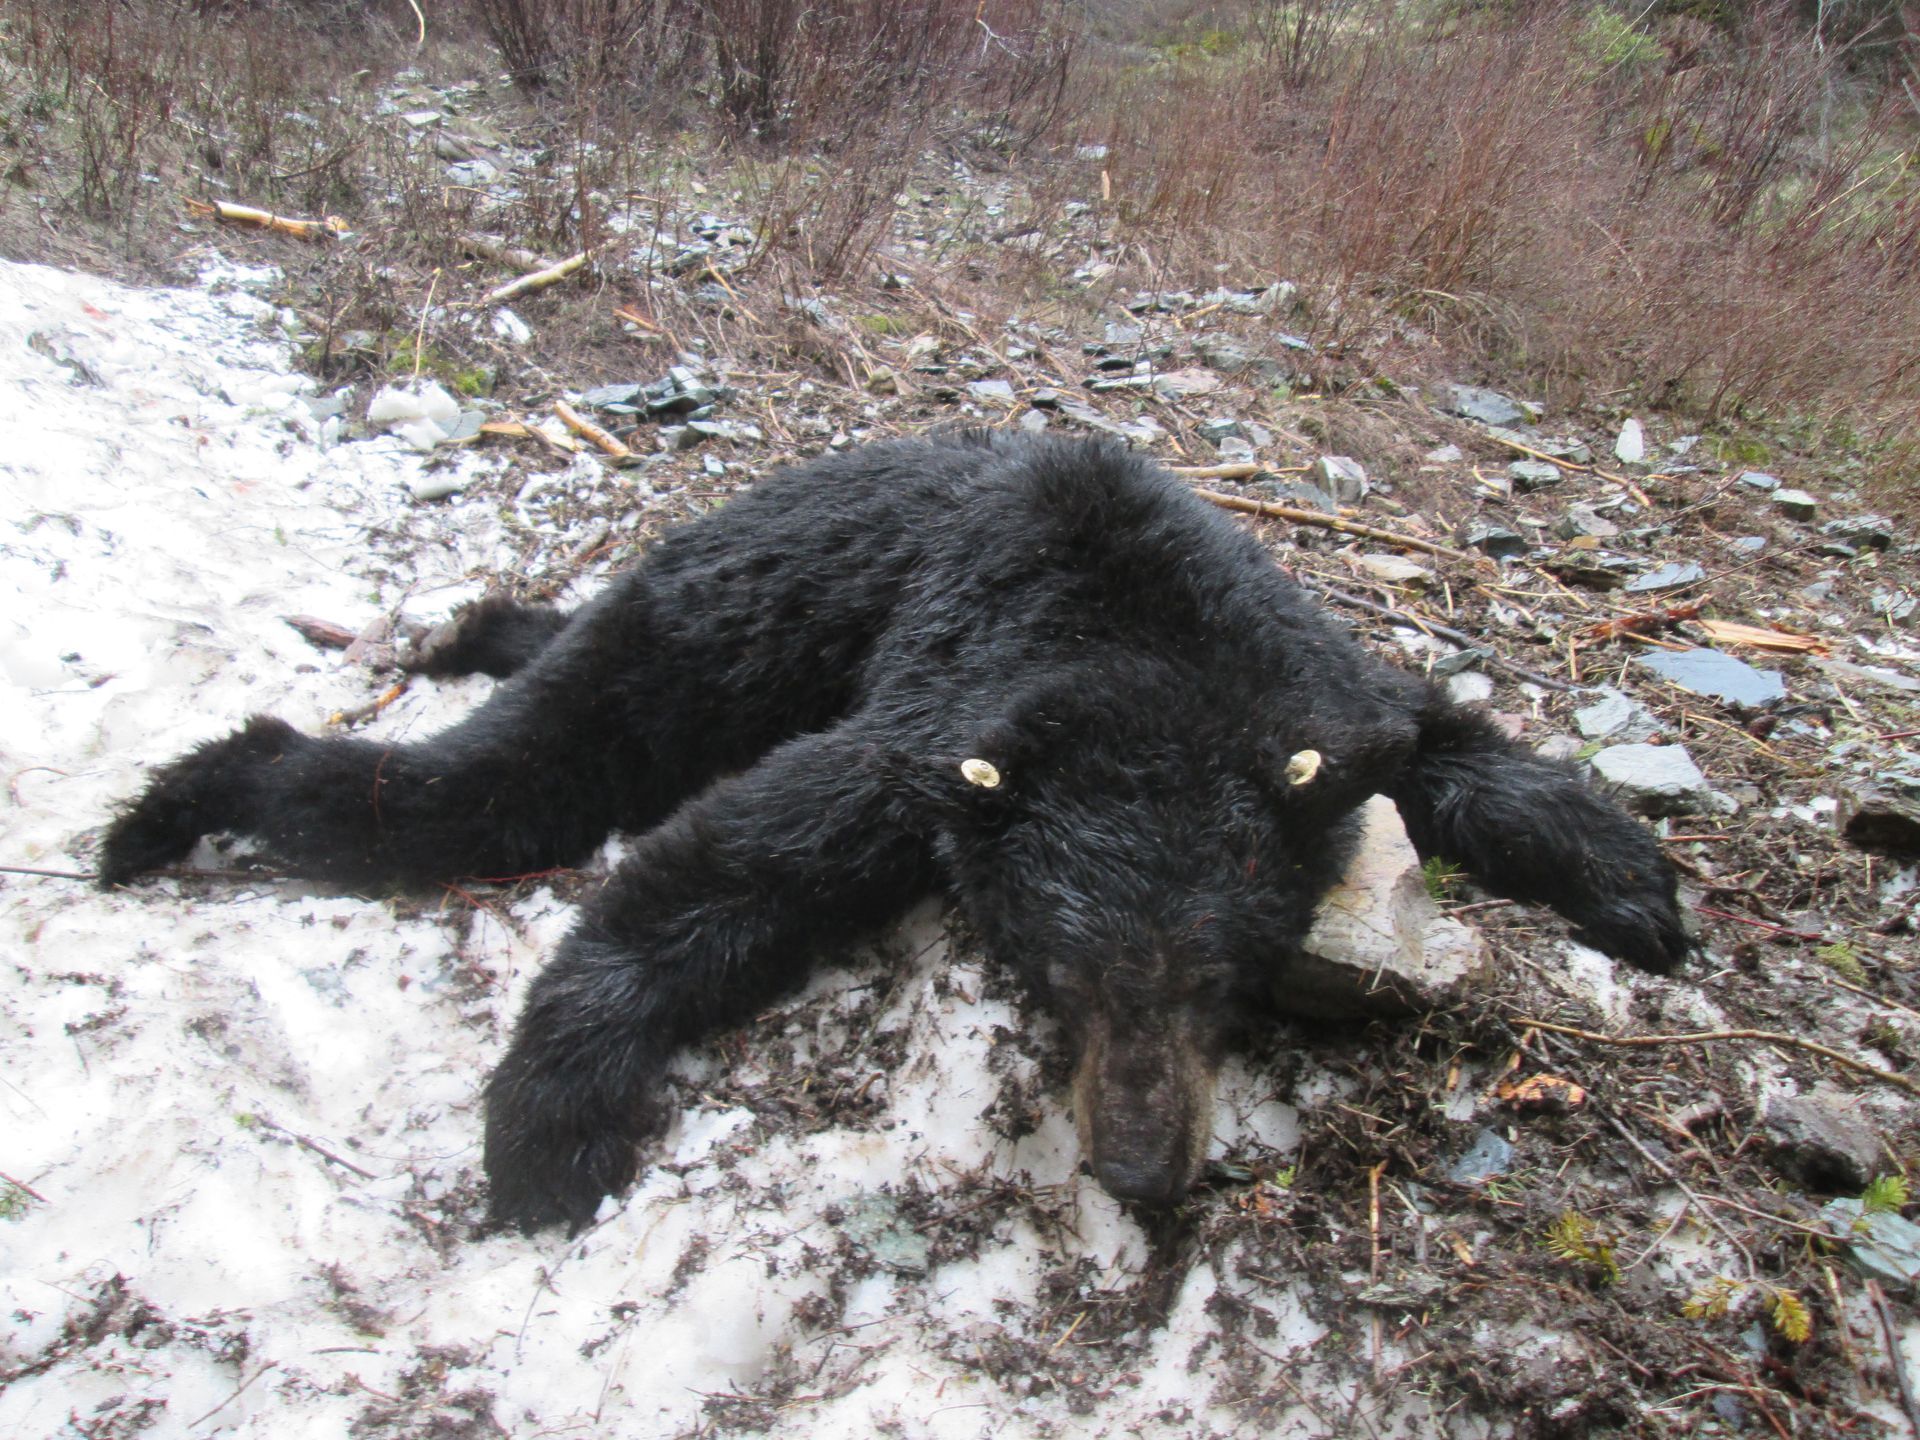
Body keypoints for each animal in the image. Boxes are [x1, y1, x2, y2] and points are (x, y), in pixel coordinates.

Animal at [98, 432, 1688, 1232]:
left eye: (1223, 981)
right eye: (1055, 976)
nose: (1140, 1171)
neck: (1140, 660)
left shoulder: (1304, 681)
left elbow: (1444, 739)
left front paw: (1629, 882)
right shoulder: (930, 735)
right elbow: (715, 872)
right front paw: (552, 1123)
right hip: (715, 630)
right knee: (499, 779)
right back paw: (179, 804)